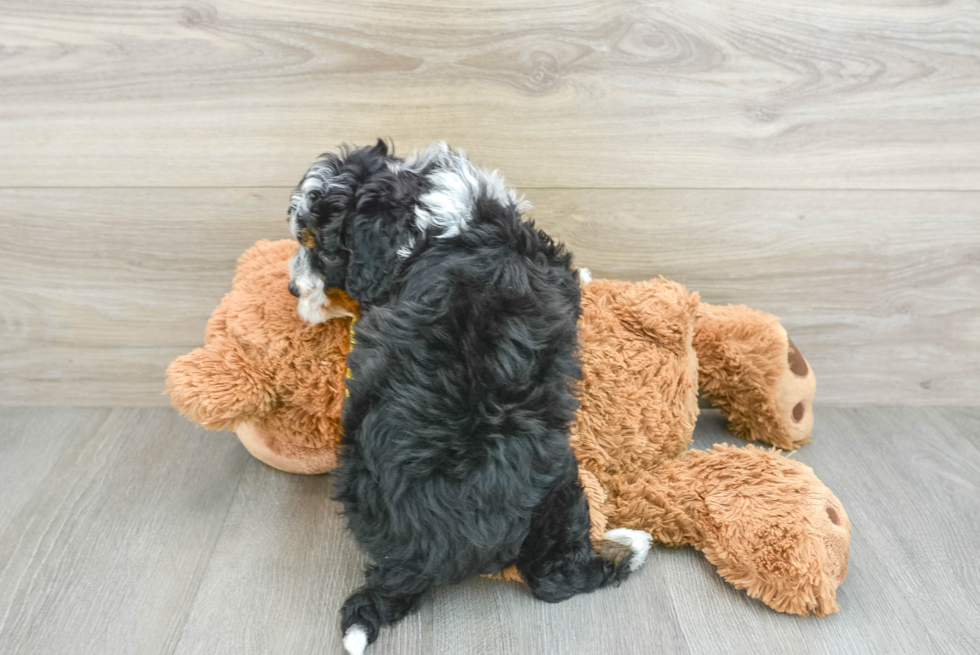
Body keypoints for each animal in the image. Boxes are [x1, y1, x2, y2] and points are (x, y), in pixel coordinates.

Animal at [286, 141, 652, 652]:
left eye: (317, 246)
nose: (291, 288)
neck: (421, 217)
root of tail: (414, 561)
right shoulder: (546, 262)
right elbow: (573, 278)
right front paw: (588, 272)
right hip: (558, 483)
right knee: (553, 576)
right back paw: (631, 547)